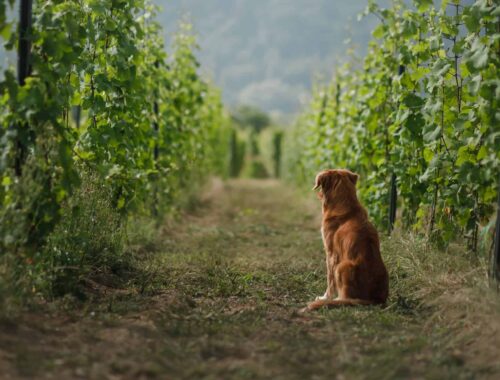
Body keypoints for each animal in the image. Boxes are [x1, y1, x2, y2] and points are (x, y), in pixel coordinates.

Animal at [298, 169, 388, 312]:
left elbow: (330, 280)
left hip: (342, 266)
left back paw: (336, 301)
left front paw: (325, 298)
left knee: (346, 297)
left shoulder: (331, 254)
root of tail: (374, 300)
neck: (346, 205)